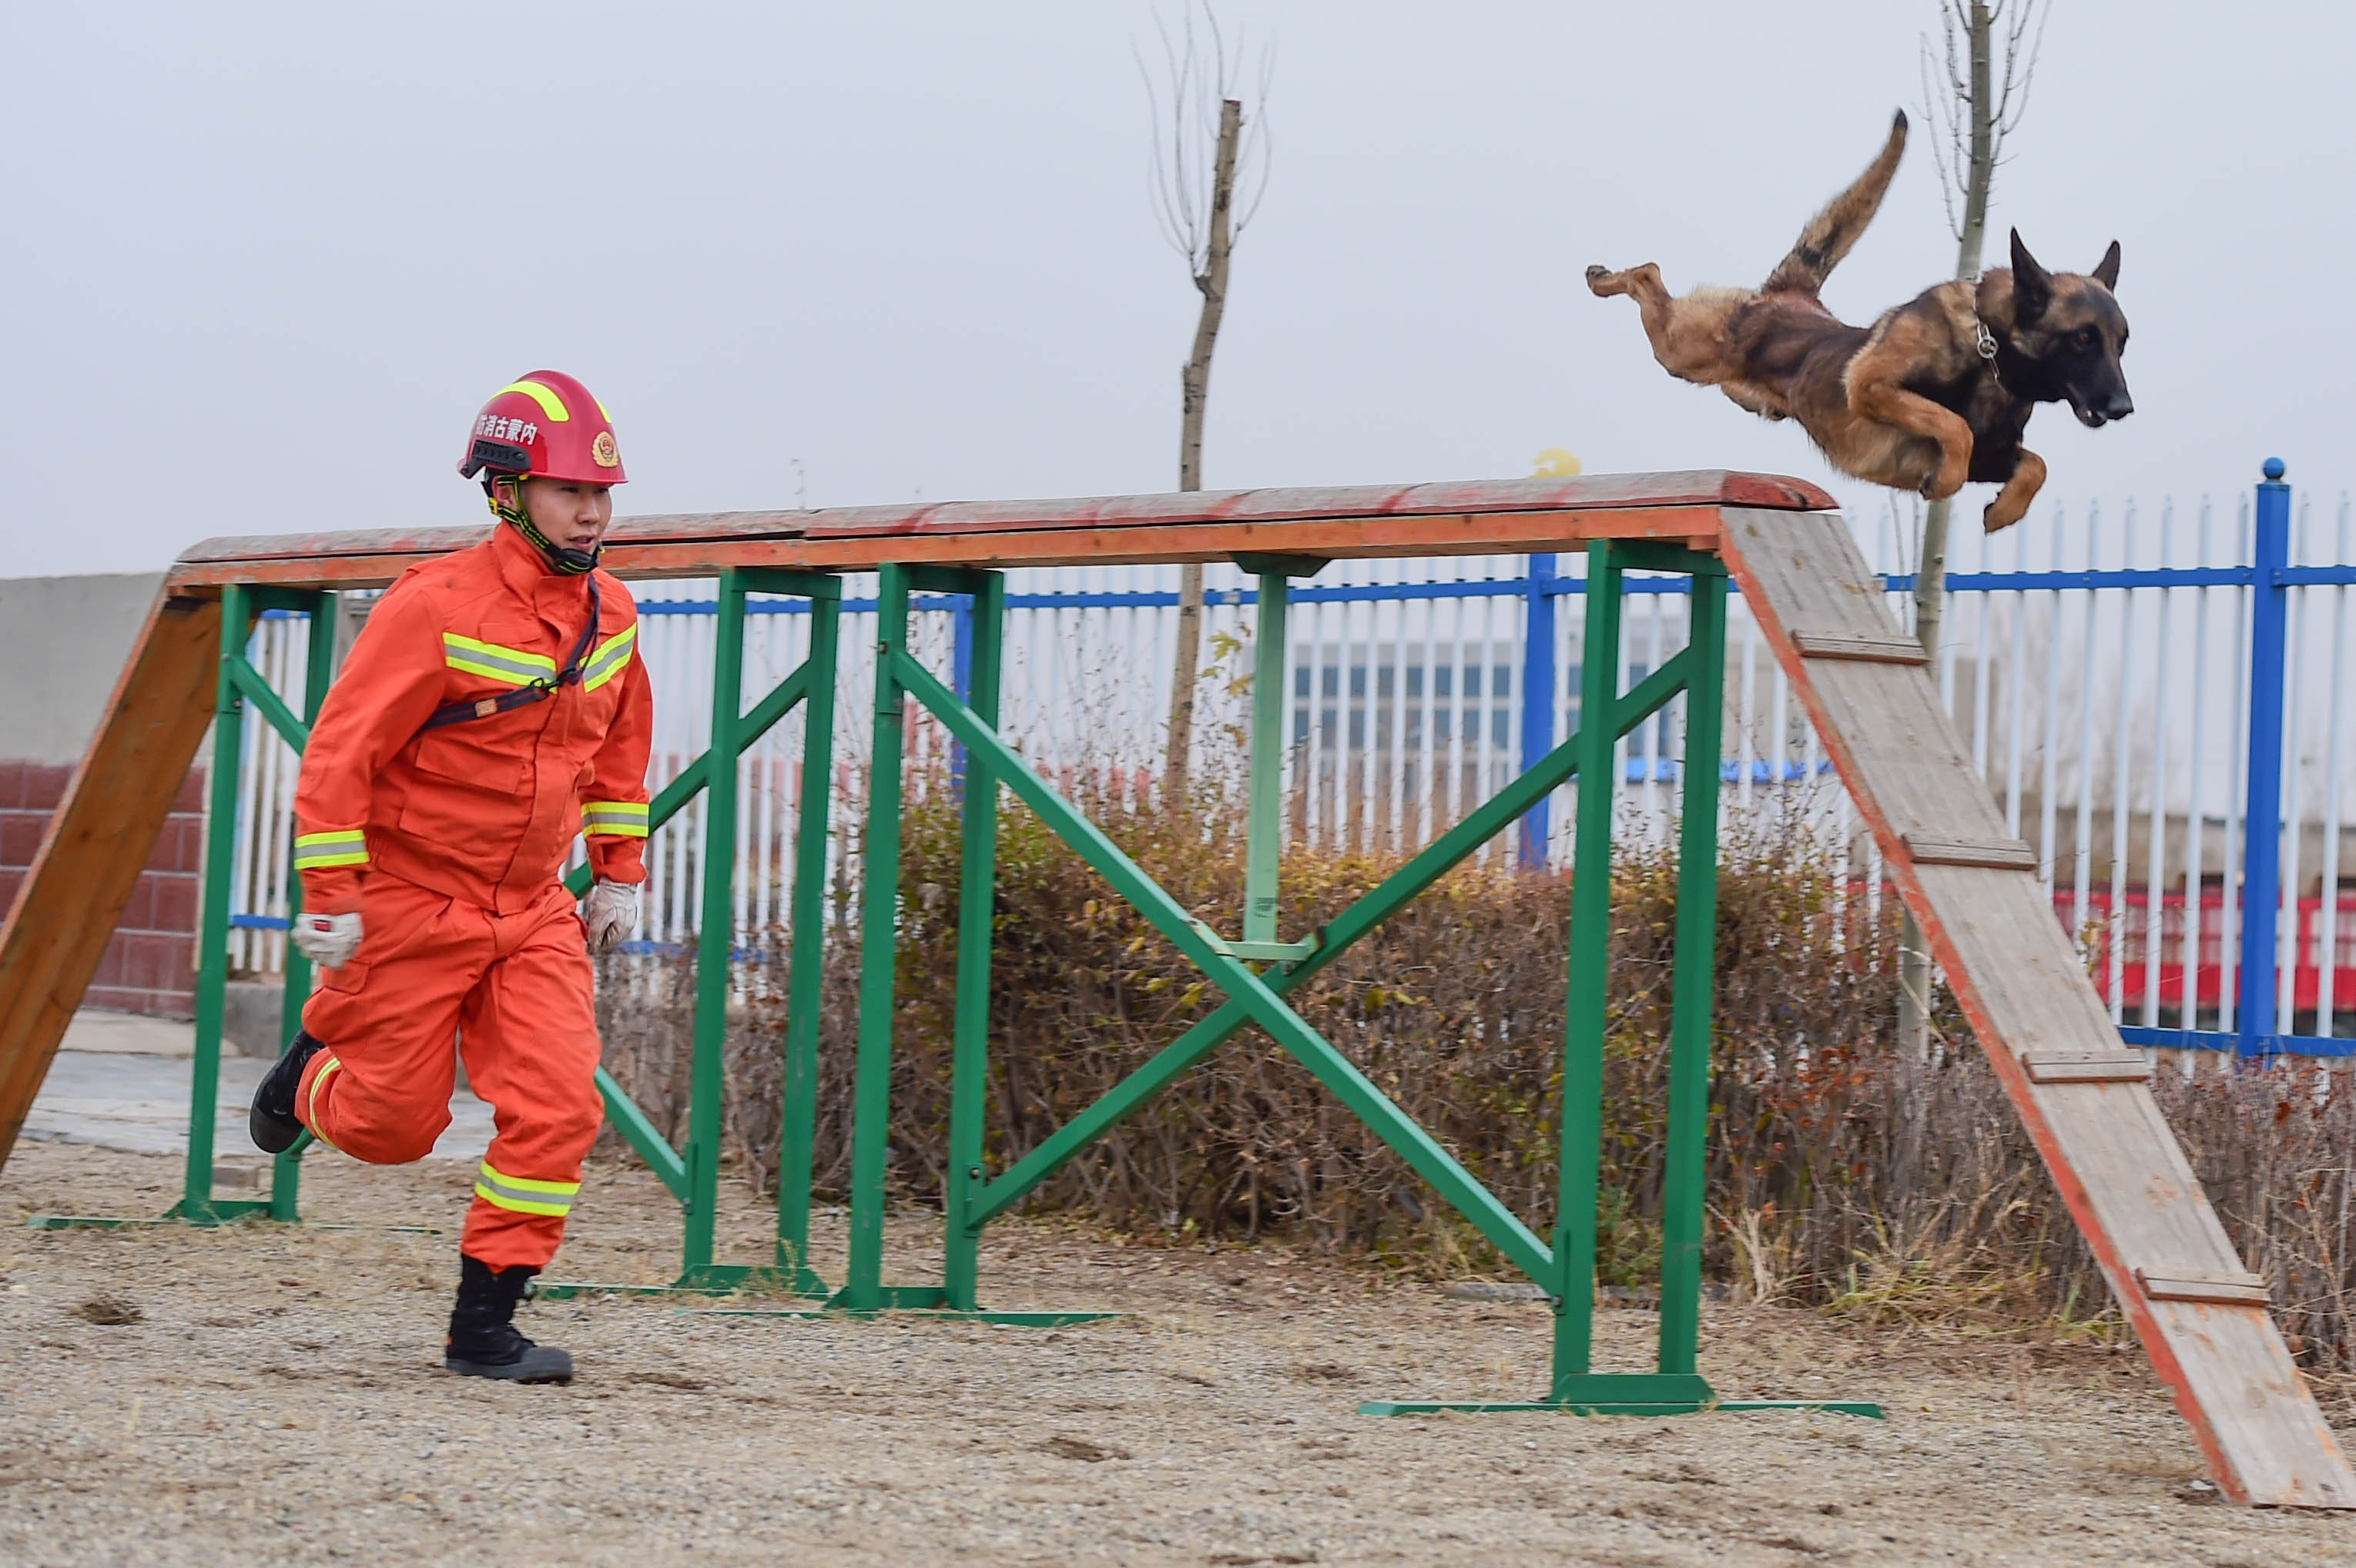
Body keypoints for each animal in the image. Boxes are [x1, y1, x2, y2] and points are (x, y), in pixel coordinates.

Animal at [1592, 111, 2130, 531]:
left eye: (2121, 343)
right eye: (2083, 339)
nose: (2125, 408)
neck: (1989, 351)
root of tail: (1789, 295)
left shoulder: (1995, 454)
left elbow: (2035, 465)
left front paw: (2003, 512)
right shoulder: (1872, 385)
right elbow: (1953, 424)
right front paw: (1947, 480)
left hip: (1732, 385)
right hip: (1681, 351)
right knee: (1647, 275)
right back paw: (1602, 278)